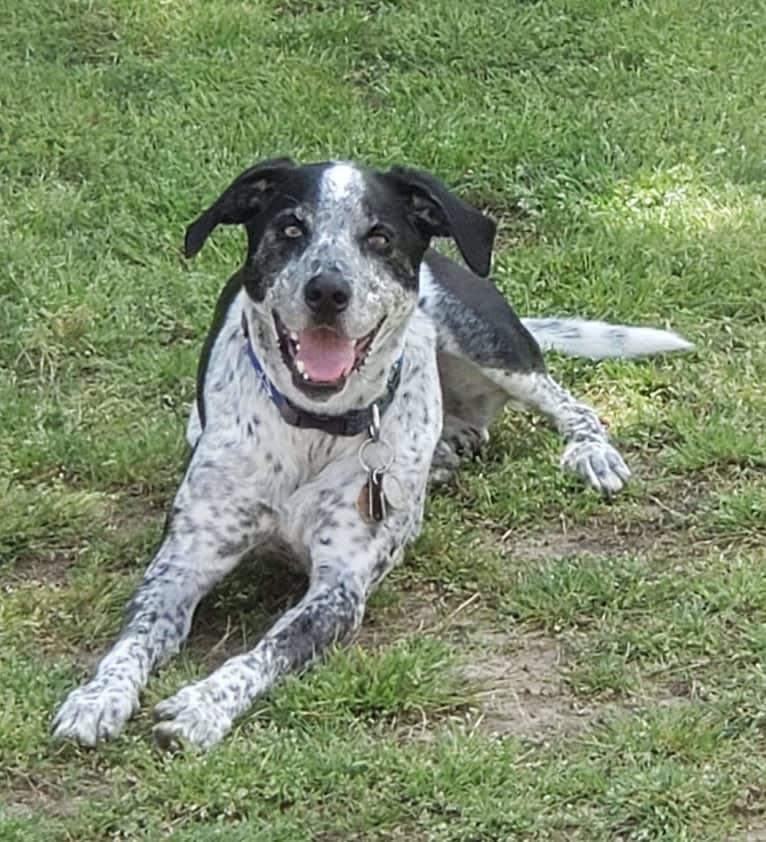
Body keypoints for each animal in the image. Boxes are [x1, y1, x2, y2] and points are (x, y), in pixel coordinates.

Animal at [49, 159, 696, 748]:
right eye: (290, 228)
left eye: (379, 236)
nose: (328, 291)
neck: (316, 426)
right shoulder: (182, 562)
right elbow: (133, 639)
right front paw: (98, 696)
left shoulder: (340, 588)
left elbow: (267, 651)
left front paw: (203, 705)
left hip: (487, 340)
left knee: (570, 402)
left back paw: (589, 454)